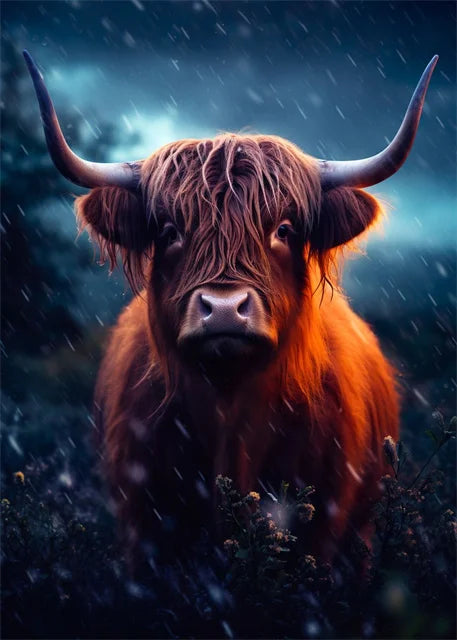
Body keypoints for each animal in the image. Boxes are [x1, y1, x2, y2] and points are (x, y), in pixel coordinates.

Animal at [24, 51, 438, 563]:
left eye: (283, 229)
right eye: (169, 231)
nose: (223, 308)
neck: (229, 412)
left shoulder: (325, 530)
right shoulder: (142, 530)